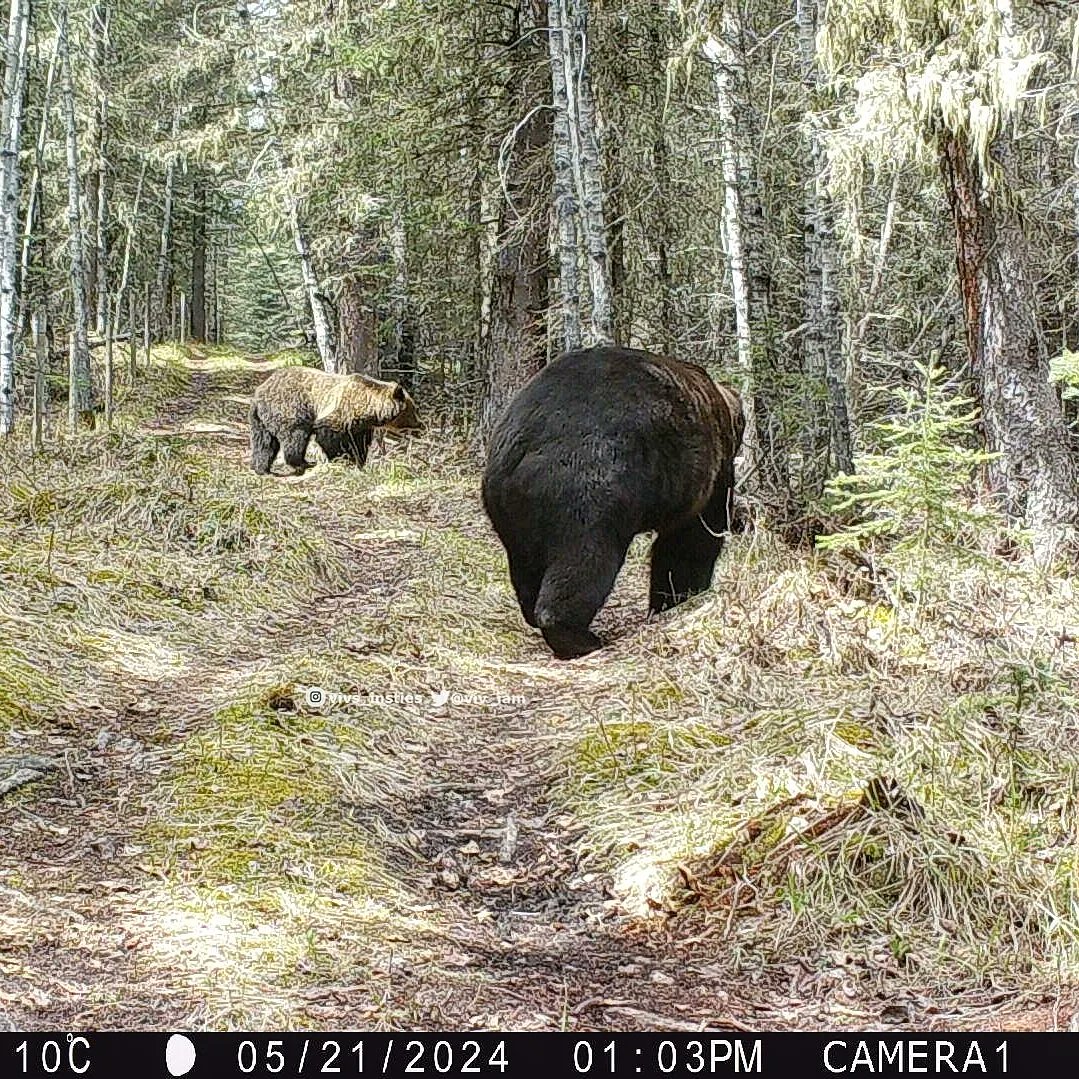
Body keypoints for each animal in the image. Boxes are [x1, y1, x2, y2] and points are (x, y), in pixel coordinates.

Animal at [250, 369, 418, 474]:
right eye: (414, 410)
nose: (419, 424)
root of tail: (259, 392)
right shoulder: (339, 412)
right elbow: (329, 437)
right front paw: (342, 459)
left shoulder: (360, 427)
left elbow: (360, 444)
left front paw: (359, 461)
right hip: (290, 408)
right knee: (296, 436)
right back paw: (302, 463)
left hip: (261, 419)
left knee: (264, 443)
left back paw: (261, 467)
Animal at [481, 349, 742, 660]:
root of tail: (520, 448)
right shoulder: (709, 474)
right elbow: (691, 541)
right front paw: (681, 597)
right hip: (589, 485)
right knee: (586, 560)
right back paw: (579, 636)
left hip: (509, 509)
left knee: (525, 563)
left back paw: (534, 613)